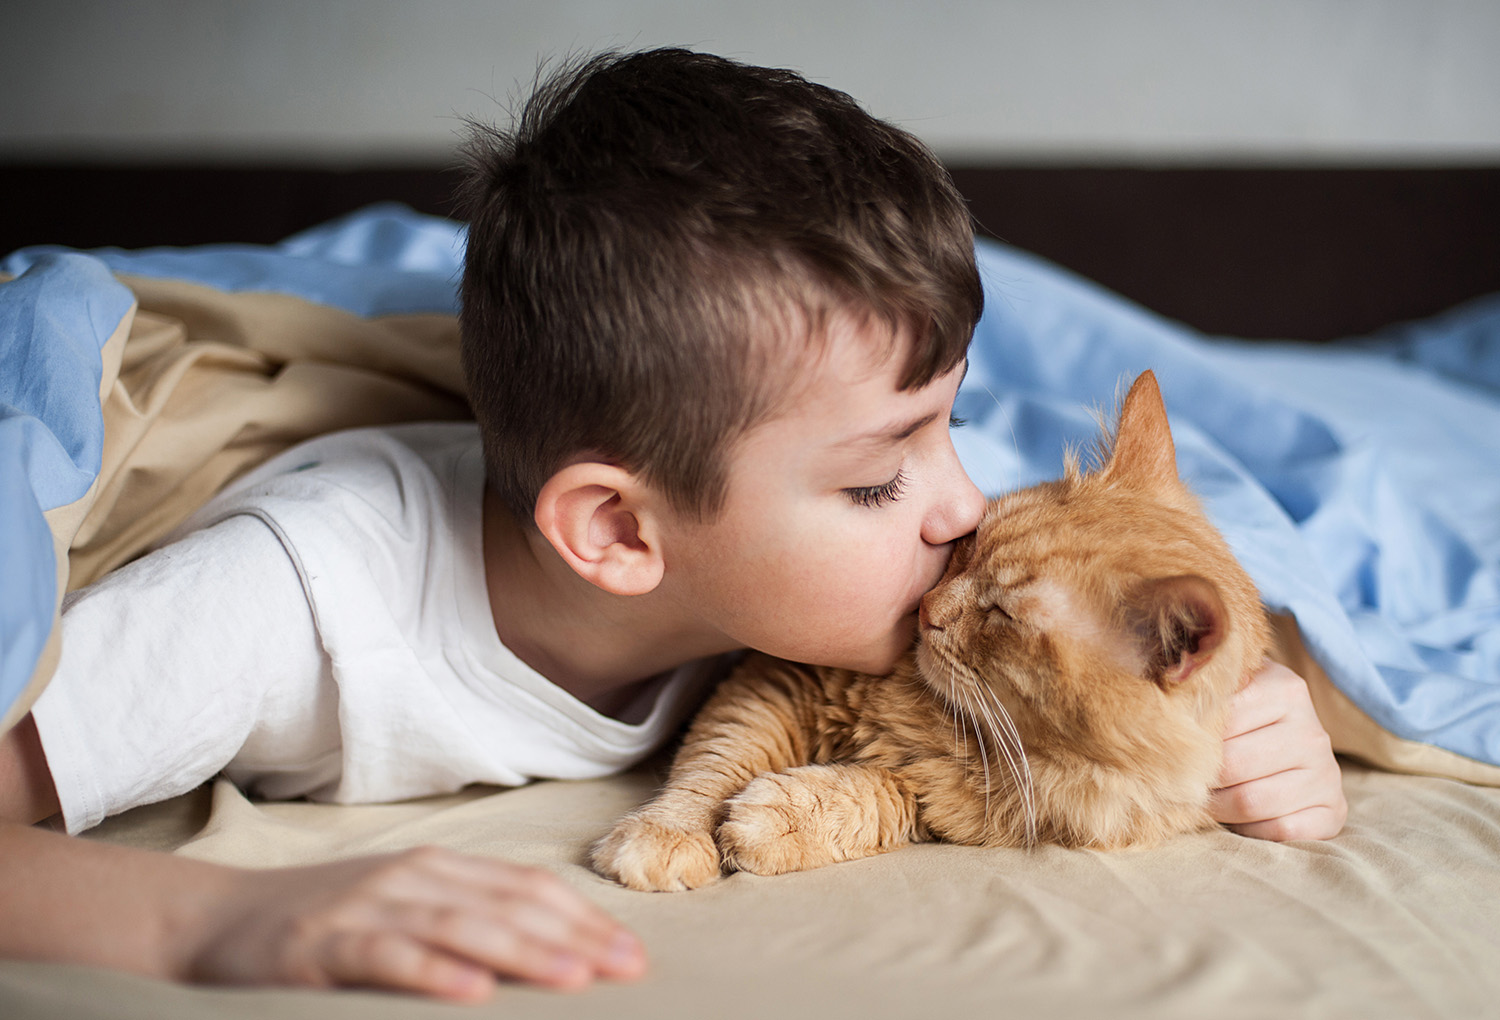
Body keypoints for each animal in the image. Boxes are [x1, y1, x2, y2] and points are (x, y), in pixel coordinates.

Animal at [591, 370, 1272, 888]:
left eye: (1004, 615)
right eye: (969, 546)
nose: (926, 609)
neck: (933, 715)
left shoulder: (953, 808)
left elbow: (871, 796)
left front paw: (773, 820)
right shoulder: (772, 684)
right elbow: (712, 767)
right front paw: (668, 835)